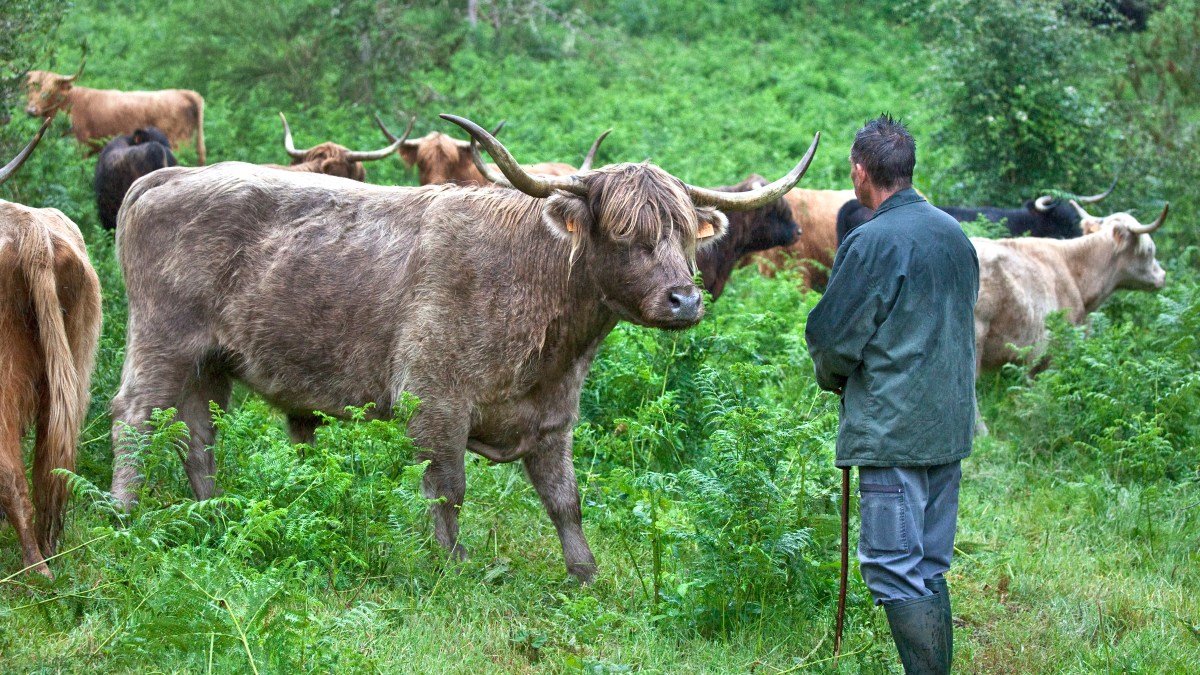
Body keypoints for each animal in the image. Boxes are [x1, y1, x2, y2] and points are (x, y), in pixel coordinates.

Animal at [25, 68, 206, 164]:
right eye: (30, 87)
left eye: (49, 91)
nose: (31, 110)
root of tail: (183, 92)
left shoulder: (81, 145)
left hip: (178, 143)